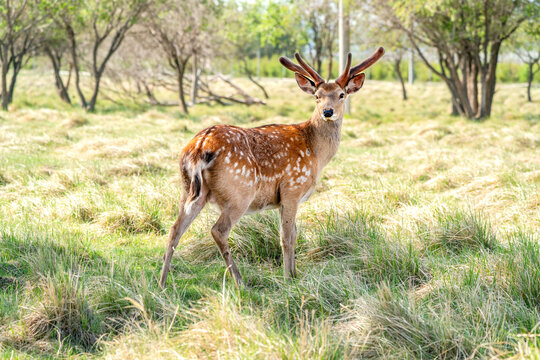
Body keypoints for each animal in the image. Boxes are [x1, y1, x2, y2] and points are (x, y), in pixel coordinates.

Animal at [158, 47, 386, 288]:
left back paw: (162, 283)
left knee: (174, 229)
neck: (316, 153)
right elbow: (287, 236)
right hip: (239, 192)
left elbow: (293, 233)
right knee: (218, 230)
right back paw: (240, 281)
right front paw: (288, 278)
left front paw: (294, 273)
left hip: (189, 190)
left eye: (341, 94)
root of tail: (201, 146)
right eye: (317, 96)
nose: (327, 111)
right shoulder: (292, 189)